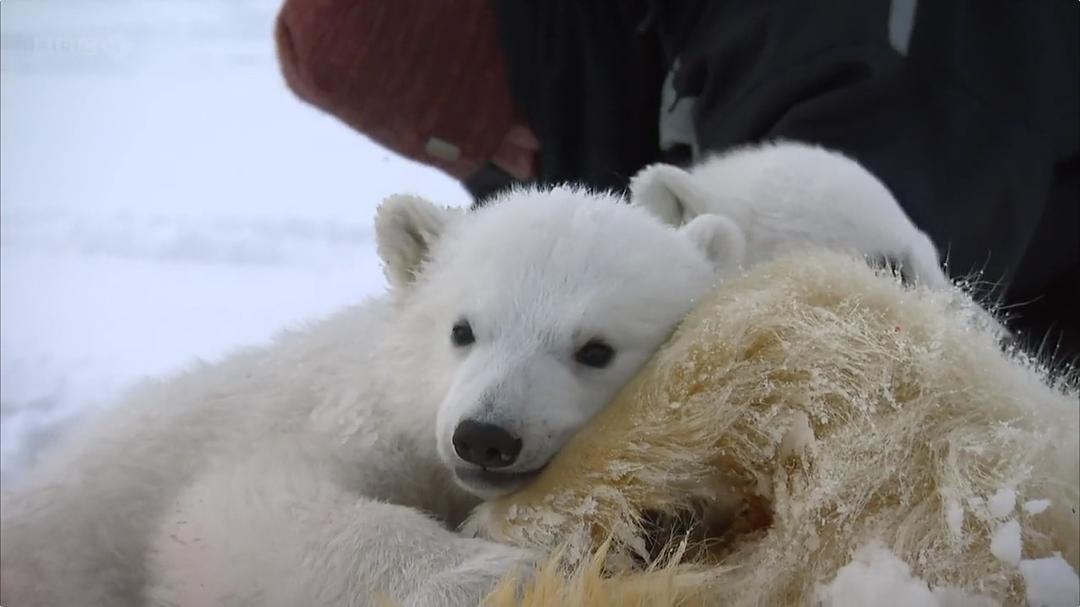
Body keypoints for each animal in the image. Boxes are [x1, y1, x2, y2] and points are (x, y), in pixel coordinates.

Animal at [0, 186, 744, 607]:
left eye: (595, 349)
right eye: (462, 329)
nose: (484, 436)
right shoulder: (329, 420)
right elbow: (227, 514)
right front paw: (509, 571)